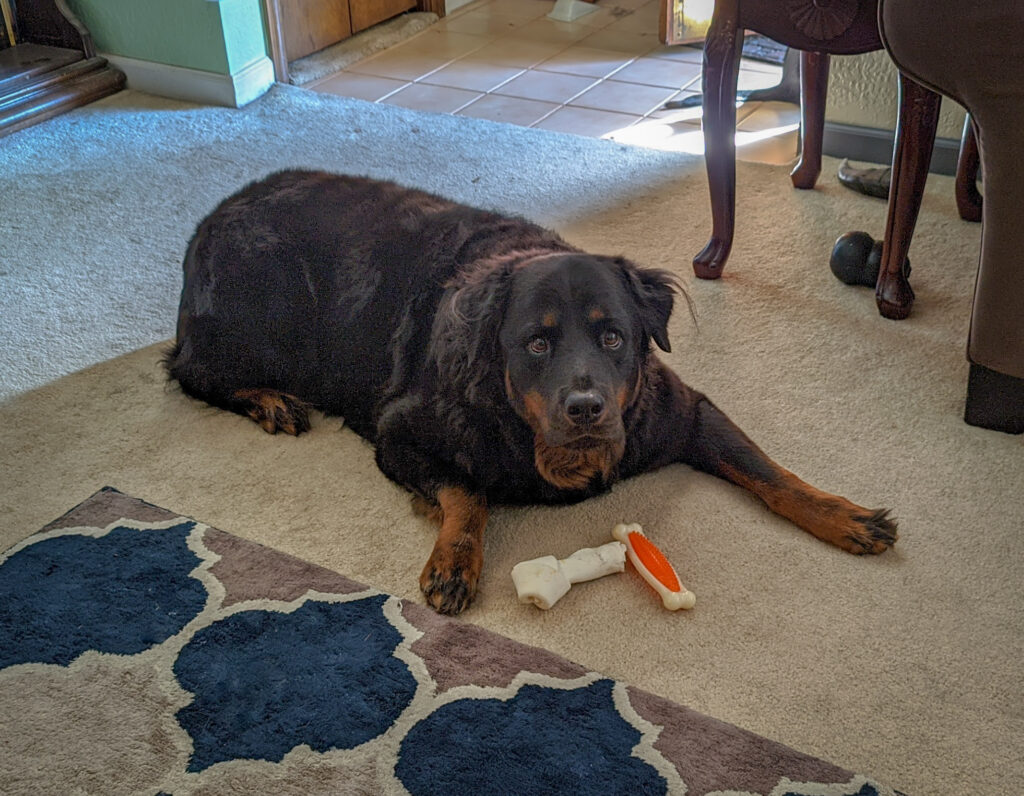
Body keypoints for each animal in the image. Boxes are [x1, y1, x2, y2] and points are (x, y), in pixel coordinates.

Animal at [165, 169, 897, 614]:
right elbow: (468, 489)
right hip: (264, 309)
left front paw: (843, 516)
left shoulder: (683, 411)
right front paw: (456, 561)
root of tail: (211, 217)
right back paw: (269, 400)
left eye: (613, 337)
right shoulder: (400, 432)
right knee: (191, 368)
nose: (586, 408)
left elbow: (768, 470)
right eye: (536, 344)